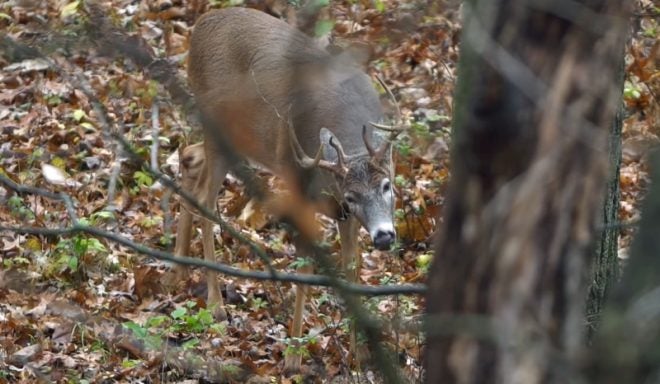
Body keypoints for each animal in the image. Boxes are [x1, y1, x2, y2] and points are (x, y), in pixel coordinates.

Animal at [173, 6, 400, 372]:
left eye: (386, 185)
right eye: (352, 195)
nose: (383, 236)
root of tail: (200, 27)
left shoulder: (343, 213)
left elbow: (351, 266)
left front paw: (361, 354)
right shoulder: (302, 188)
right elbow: (307, 267)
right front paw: (293, 357)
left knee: (189, 157)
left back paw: (177, 268)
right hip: (217, 125)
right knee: (207, 197)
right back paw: (216, 303)